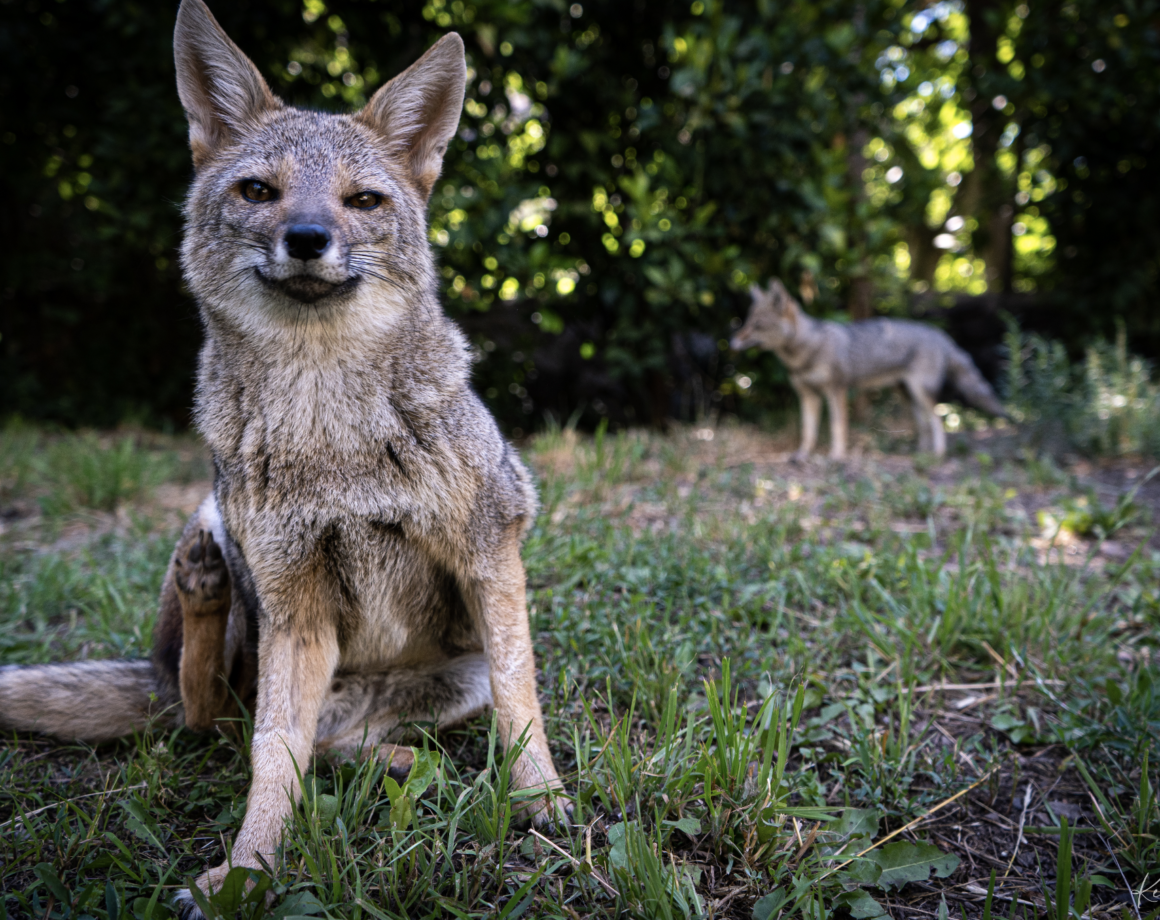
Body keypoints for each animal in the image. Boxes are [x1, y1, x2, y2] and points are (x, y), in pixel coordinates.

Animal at [0, 0, 561, 904]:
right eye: (259, 190)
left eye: (362, 200)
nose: (306, 237)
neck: (331, 430)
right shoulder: (294, 604)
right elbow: (270, 762)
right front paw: (245, 870)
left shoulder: (488, 553)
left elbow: (521, 700)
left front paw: (540, 798)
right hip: (239, 578)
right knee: (213, 716)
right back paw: (203, 592)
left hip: (446, 672)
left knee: (325, 746)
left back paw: (398, 758)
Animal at [733, 276, 1006, 454]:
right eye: (747, 322)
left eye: (757, 325)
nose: (733, 340)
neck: (808, 347)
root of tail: (940, 334)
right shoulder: (808, 395)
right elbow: (807, 430)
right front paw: (802, 456)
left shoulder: (836, 391)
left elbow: (838, 427)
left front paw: (837, 457)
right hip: (908, 395)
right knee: (924, 424)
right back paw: (921, 452)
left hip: (920, 392)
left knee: (937, 420)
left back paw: (937, 454)